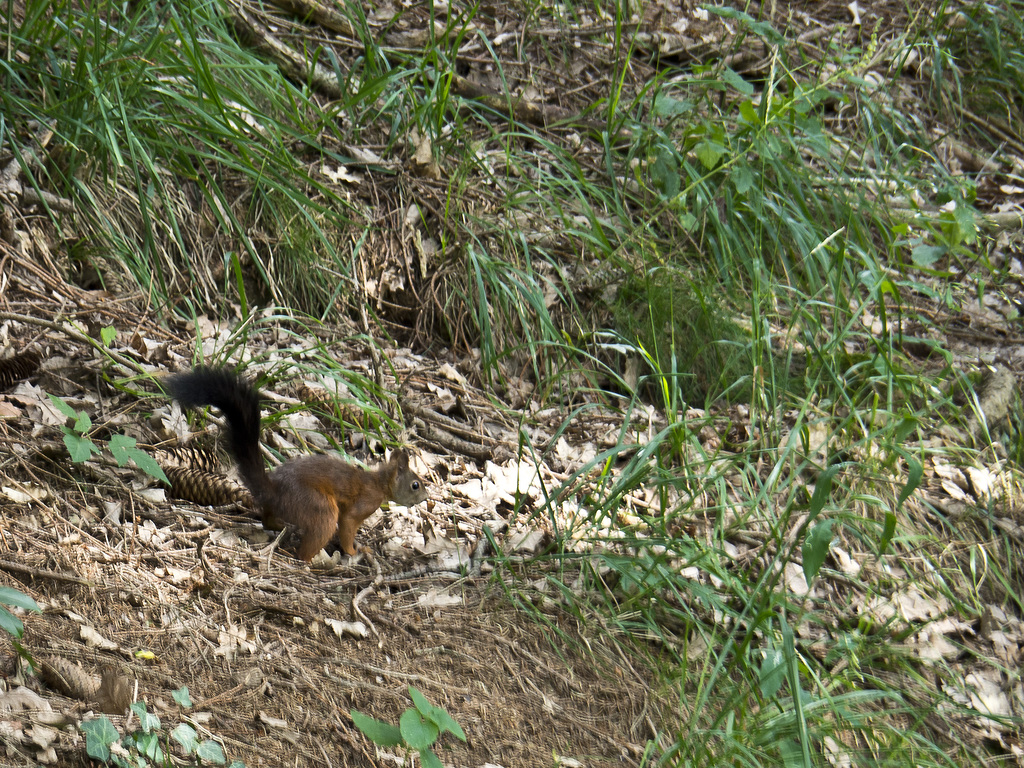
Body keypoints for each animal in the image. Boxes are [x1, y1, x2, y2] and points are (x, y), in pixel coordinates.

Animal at [165, 366, 425, 561]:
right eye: (416, 484)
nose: (426, 497)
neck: (379, 482)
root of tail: (274, 489)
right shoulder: (363, 503)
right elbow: (348, 524)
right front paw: (353, 551)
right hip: (319, 508)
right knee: (309, 543)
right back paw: (311, 560)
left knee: (267, 518)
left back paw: (280, 525)